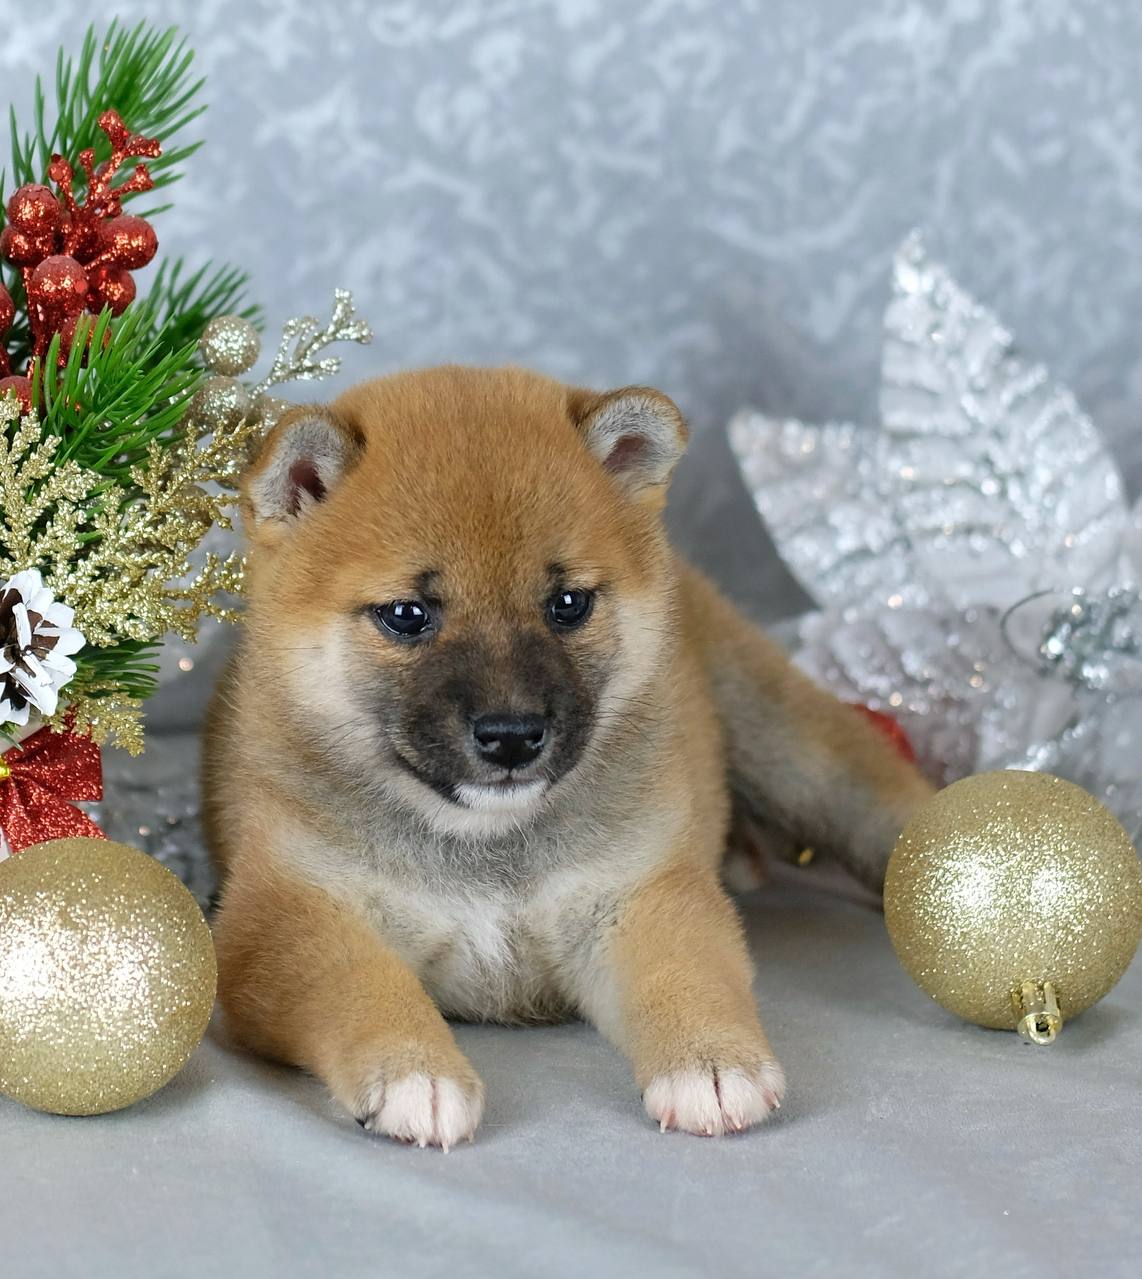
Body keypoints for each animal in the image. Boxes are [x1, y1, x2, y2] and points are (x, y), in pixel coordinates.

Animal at [203, 365, 933, 1149]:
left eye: (568, 603)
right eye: (406, 615)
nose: (513, 734)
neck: (487, 845)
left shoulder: (641, 895)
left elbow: (687, 972)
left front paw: (711, 1062)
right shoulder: (289, 914)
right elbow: (361, 986)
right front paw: (414, 1070)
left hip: (788, 745)